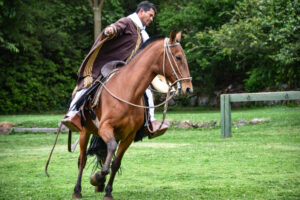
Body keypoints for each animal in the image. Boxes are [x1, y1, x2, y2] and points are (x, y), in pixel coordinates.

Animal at [71, 30, 192, 199]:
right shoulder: (105, 127)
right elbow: (108, 151)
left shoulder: (128, 136)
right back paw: (77, 190)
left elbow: (115, 163)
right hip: (85, 130)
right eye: (178, 57)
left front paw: (107, 190)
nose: (188, 88)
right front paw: (99, 176)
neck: (127, 90)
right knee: (82, 159)